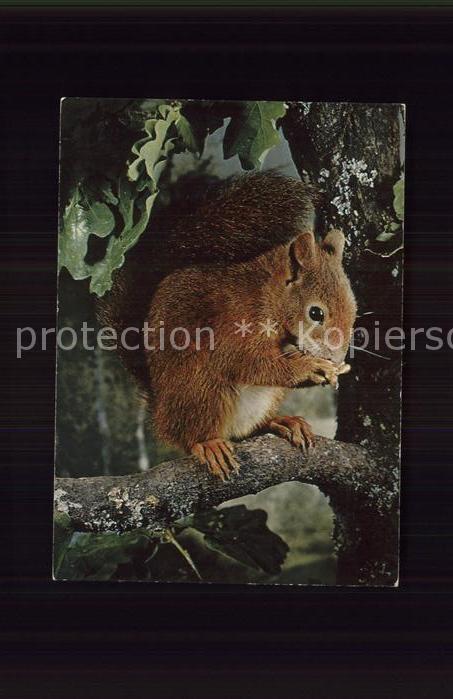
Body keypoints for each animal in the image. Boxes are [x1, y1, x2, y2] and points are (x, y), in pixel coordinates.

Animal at [99, 171, 357, 480]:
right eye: (315, 313)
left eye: (354, 310)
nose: (336, 357)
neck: (267, 296)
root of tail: (161, 414)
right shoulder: (232, 327)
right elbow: (248, 362)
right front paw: (309, 367)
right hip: (201, 390)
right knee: (192, 436)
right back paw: (208, 444)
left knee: (251, 429)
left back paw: (282, 422)